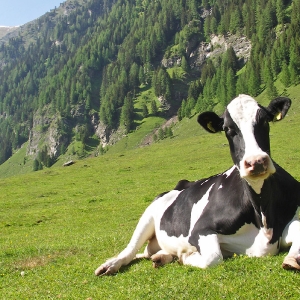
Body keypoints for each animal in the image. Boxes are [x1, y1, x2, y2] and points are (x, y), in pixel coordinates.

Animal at [95, 95, 300, 276]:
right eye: (228, 129)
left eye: (265, 121)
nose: (256, 162)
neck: (263, 217)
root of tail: (182, 183)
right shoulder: (200, 230)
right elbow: (213, 257)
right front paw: (186, 256)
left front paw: (292, 259)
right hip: (148, 215)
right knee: (130, 249)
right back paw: (110, 265)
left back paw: (162, 257)